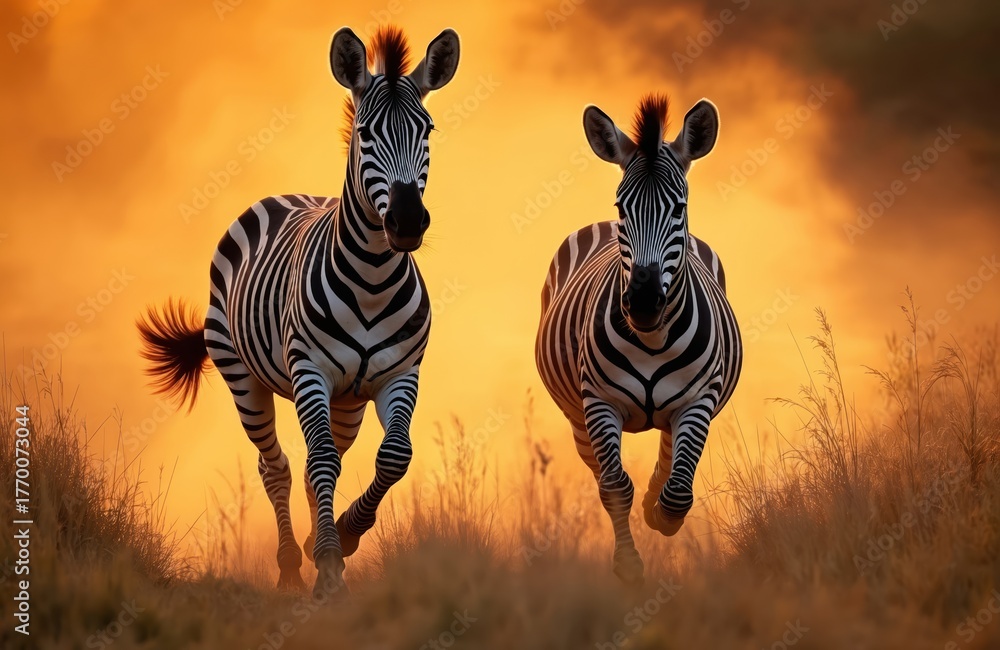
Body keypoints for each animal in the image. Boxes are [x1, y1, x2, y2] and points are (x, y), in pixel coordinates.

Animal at [137, 25, 460, 598]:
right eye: (366, 134)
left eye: (427, 131)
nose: (405, 222)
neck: (373, 278)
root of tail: (287, 196)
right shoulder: (310, 369)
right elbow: (320, 459)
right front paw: (327, 563)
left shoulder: (400, 374)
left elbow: (392, 457)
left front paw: (344, 539)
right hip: (243, 377)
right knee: (278, 468)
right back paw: (290, 566)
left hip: (348, 402)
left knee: (318, 464)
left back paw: (313, 545)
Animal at [535, 94, 742, 584]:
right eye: (622, 208)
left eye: (679, 208)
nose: (644, 303)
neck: (652, 339)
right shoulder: (598, 402)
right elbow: (614, 487)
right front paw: (628, 567)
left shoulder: (698, 400)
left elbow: (677, 490)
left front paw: (659, 514)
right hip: (577, 417)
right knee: (602, 473)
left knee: (669, 458)